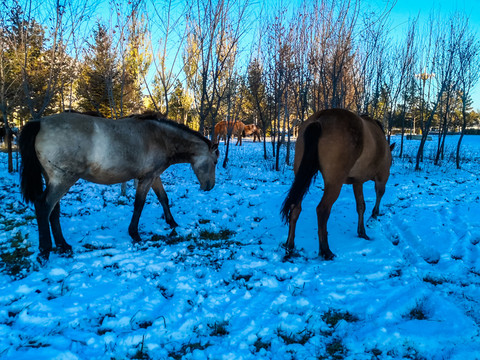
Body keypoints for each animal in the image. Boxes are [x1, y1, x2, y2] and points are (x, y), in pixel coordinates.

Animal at [18, 111, 219, 262]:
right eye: (216, 161)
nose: (210, 186)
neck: (160, 138)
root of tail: (40, 122)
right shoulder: (146, 178)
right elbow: (139, 204)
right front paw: (135, 234)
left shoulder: (154, 176)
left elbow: (163, 198)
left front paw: (172, 223)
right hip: (63, 180)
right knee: (43, 207)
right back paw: (45, 250)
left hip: (54, 180)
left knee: (54, 211)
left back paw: (63, 245)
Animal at [282, 108, 394, 260]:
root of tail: (320, 119)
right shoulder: (382, 177)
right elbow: (378, 196)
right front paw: (373, 218)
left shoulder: (357, 182)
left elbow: (361, 206)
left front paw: (362, 232)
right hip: (334, 183)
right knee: (322, 210)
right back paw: (325, 250)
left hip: (301, 176)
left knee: (295, 208)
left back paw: (290, 246)